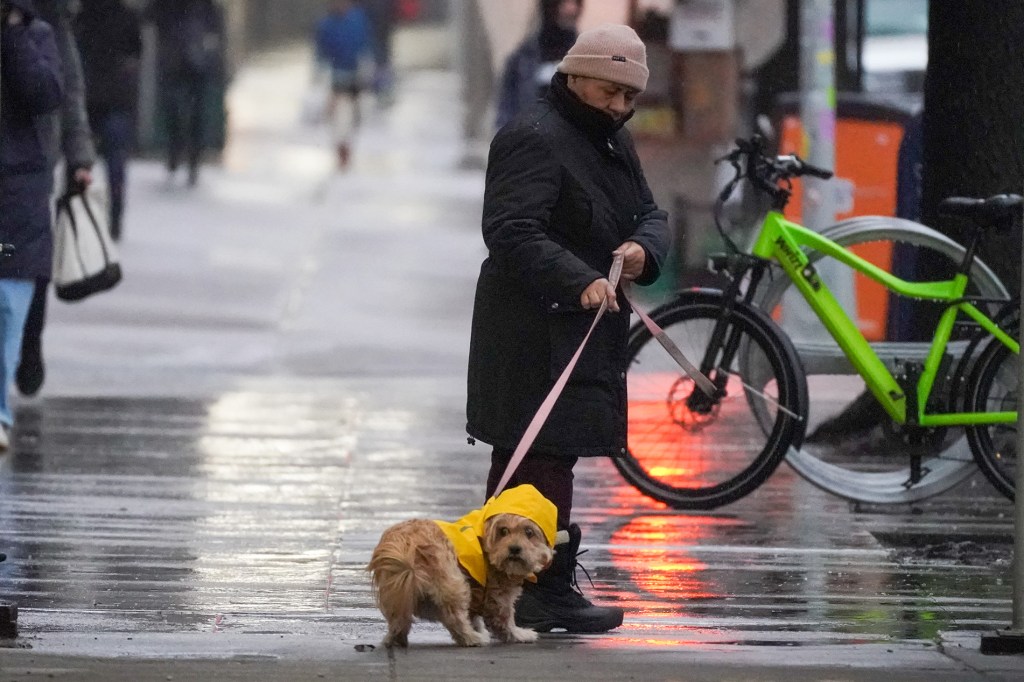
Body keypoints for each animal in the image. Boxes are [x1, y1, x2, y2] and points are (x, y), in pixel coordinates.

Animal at [368, 481, 557, 647]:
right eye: (504, 531)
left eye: (529, 532)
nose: (515, 549)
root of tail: (407, 544)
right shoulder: (497, 595)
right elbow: (503, 619)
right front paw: (518, 634)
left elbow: (475, 617)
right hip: (452, 582)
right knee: (454, 618)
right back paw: (471, 638)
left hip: (398, 589)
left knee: (398, 618)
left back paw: (395, 638)